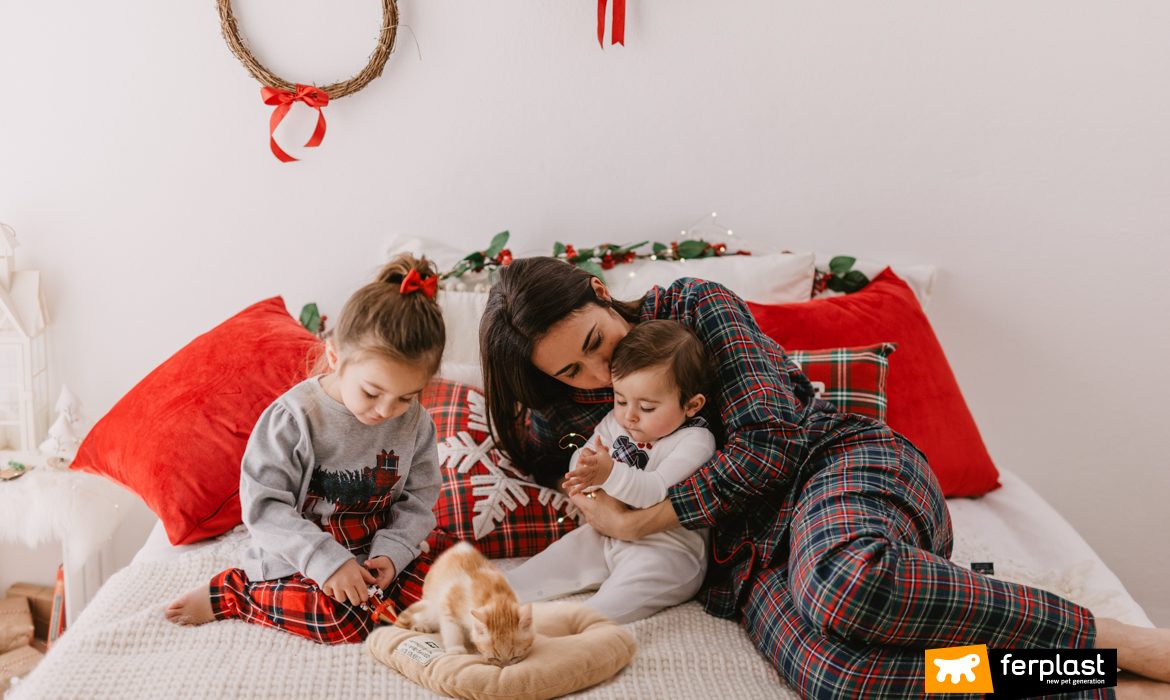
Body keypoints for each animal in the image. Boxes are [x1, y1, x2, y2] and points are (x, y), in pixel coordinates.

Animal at [397, 543, 535, 669]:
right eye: (494, 658)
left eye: (515, 657)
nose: (505, 667)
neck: (496, 594)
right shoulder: (448, 604)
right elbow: (452, 629)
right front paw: (456, 649)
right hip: (431, 605)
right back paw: (421, 626)